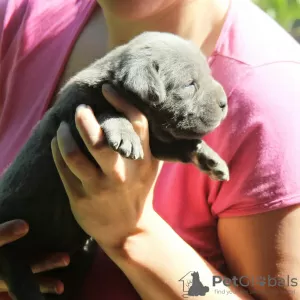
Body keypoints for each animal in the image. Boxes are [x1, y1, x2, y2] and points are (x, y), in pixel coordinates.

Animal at [0, 31, 230, 298]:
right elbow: (106, 113)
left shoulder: (155, 142)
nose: (225, 102)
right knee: (19, 276)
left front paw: (210, 158)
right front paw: (124, 134)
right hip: (12, 239)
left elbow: (180, 145)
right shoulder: (71, 121)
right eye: (190, 84)